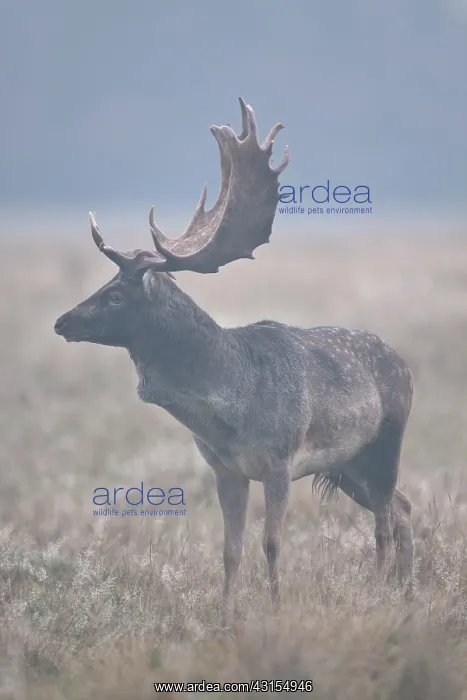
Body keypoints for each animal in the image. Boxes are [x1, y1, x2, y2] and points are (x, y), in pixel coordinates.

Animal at [54, 98, 414, 625]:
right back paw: (406, 592)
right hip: (349, 465)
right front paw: (226, 618)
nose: (62, 322)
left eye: (117, 295)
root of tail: (405, 365)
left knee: (386, 521)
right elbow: (230, 549)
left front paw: (277, 611)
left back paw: (381, 592)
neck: (228, 411)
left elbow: (272, 543)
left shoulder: (281, 460)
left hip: (387, 441)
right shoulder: (224, 468)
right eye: (103, 285)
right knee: (404, 508)